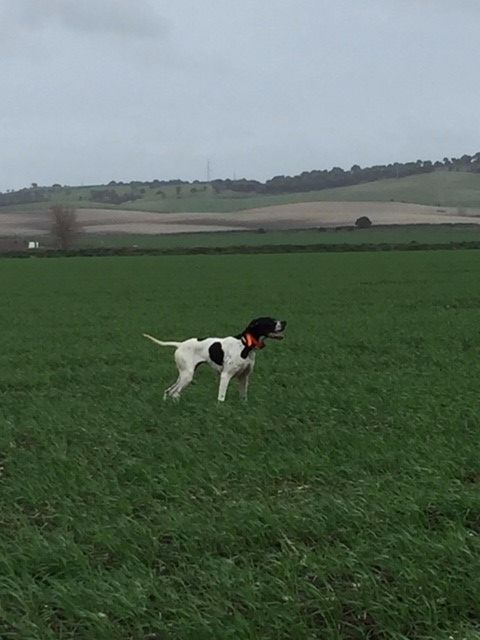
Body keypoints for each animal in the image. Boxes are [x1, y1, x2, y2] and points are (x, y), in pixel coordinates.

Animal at [142, 318, 284, 402]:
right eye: (270, 321)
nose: (285, 322)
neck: (244, 345)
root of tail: (180, 344)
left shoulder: (244, 377)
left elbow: (243, 397)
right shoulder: (225, 376)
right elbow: (221, 398)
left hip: (183, 375)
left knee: (169, 391)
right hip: (187, 376)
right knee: (174, 392)